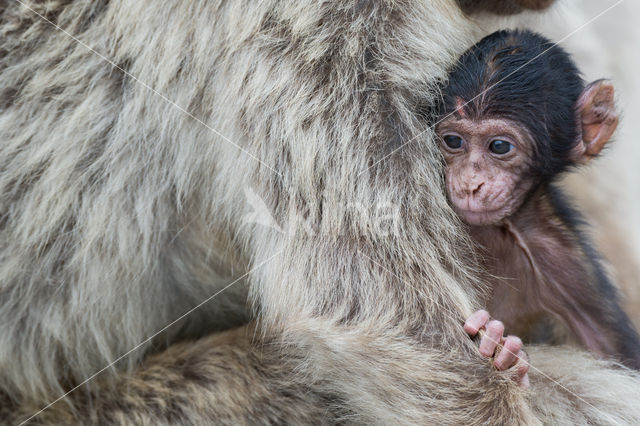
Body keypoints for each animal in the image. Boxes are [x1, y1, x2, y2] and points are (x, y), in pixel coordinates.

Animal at [436, 28, 640, 384]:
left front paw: (504, 354)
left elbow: (613, 357)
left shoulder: (567, 264)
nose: (470, 184)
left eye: (499, 146)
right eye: (453, 141)